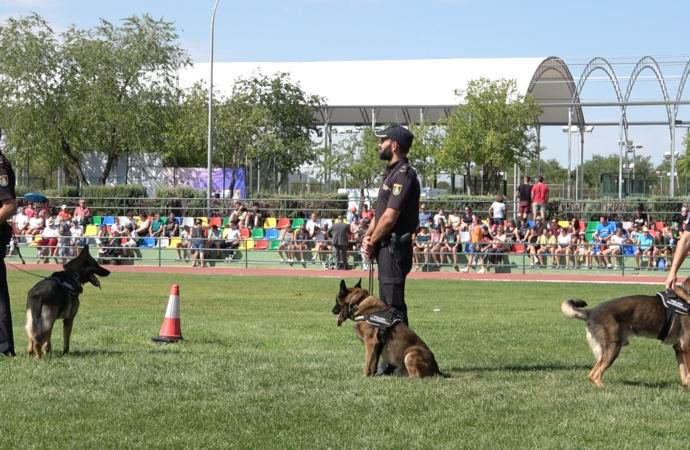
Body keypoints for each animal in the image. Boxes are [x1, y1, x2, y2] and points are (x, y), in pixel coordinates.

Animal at [560, 278, 690, 386]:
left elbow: (684, 373)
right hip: (613, 349)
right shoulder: (686, 347)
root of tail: (590, 312)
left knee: (592, 373)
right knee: (594, 375)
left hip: (606, 352)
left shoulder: (679, 348)